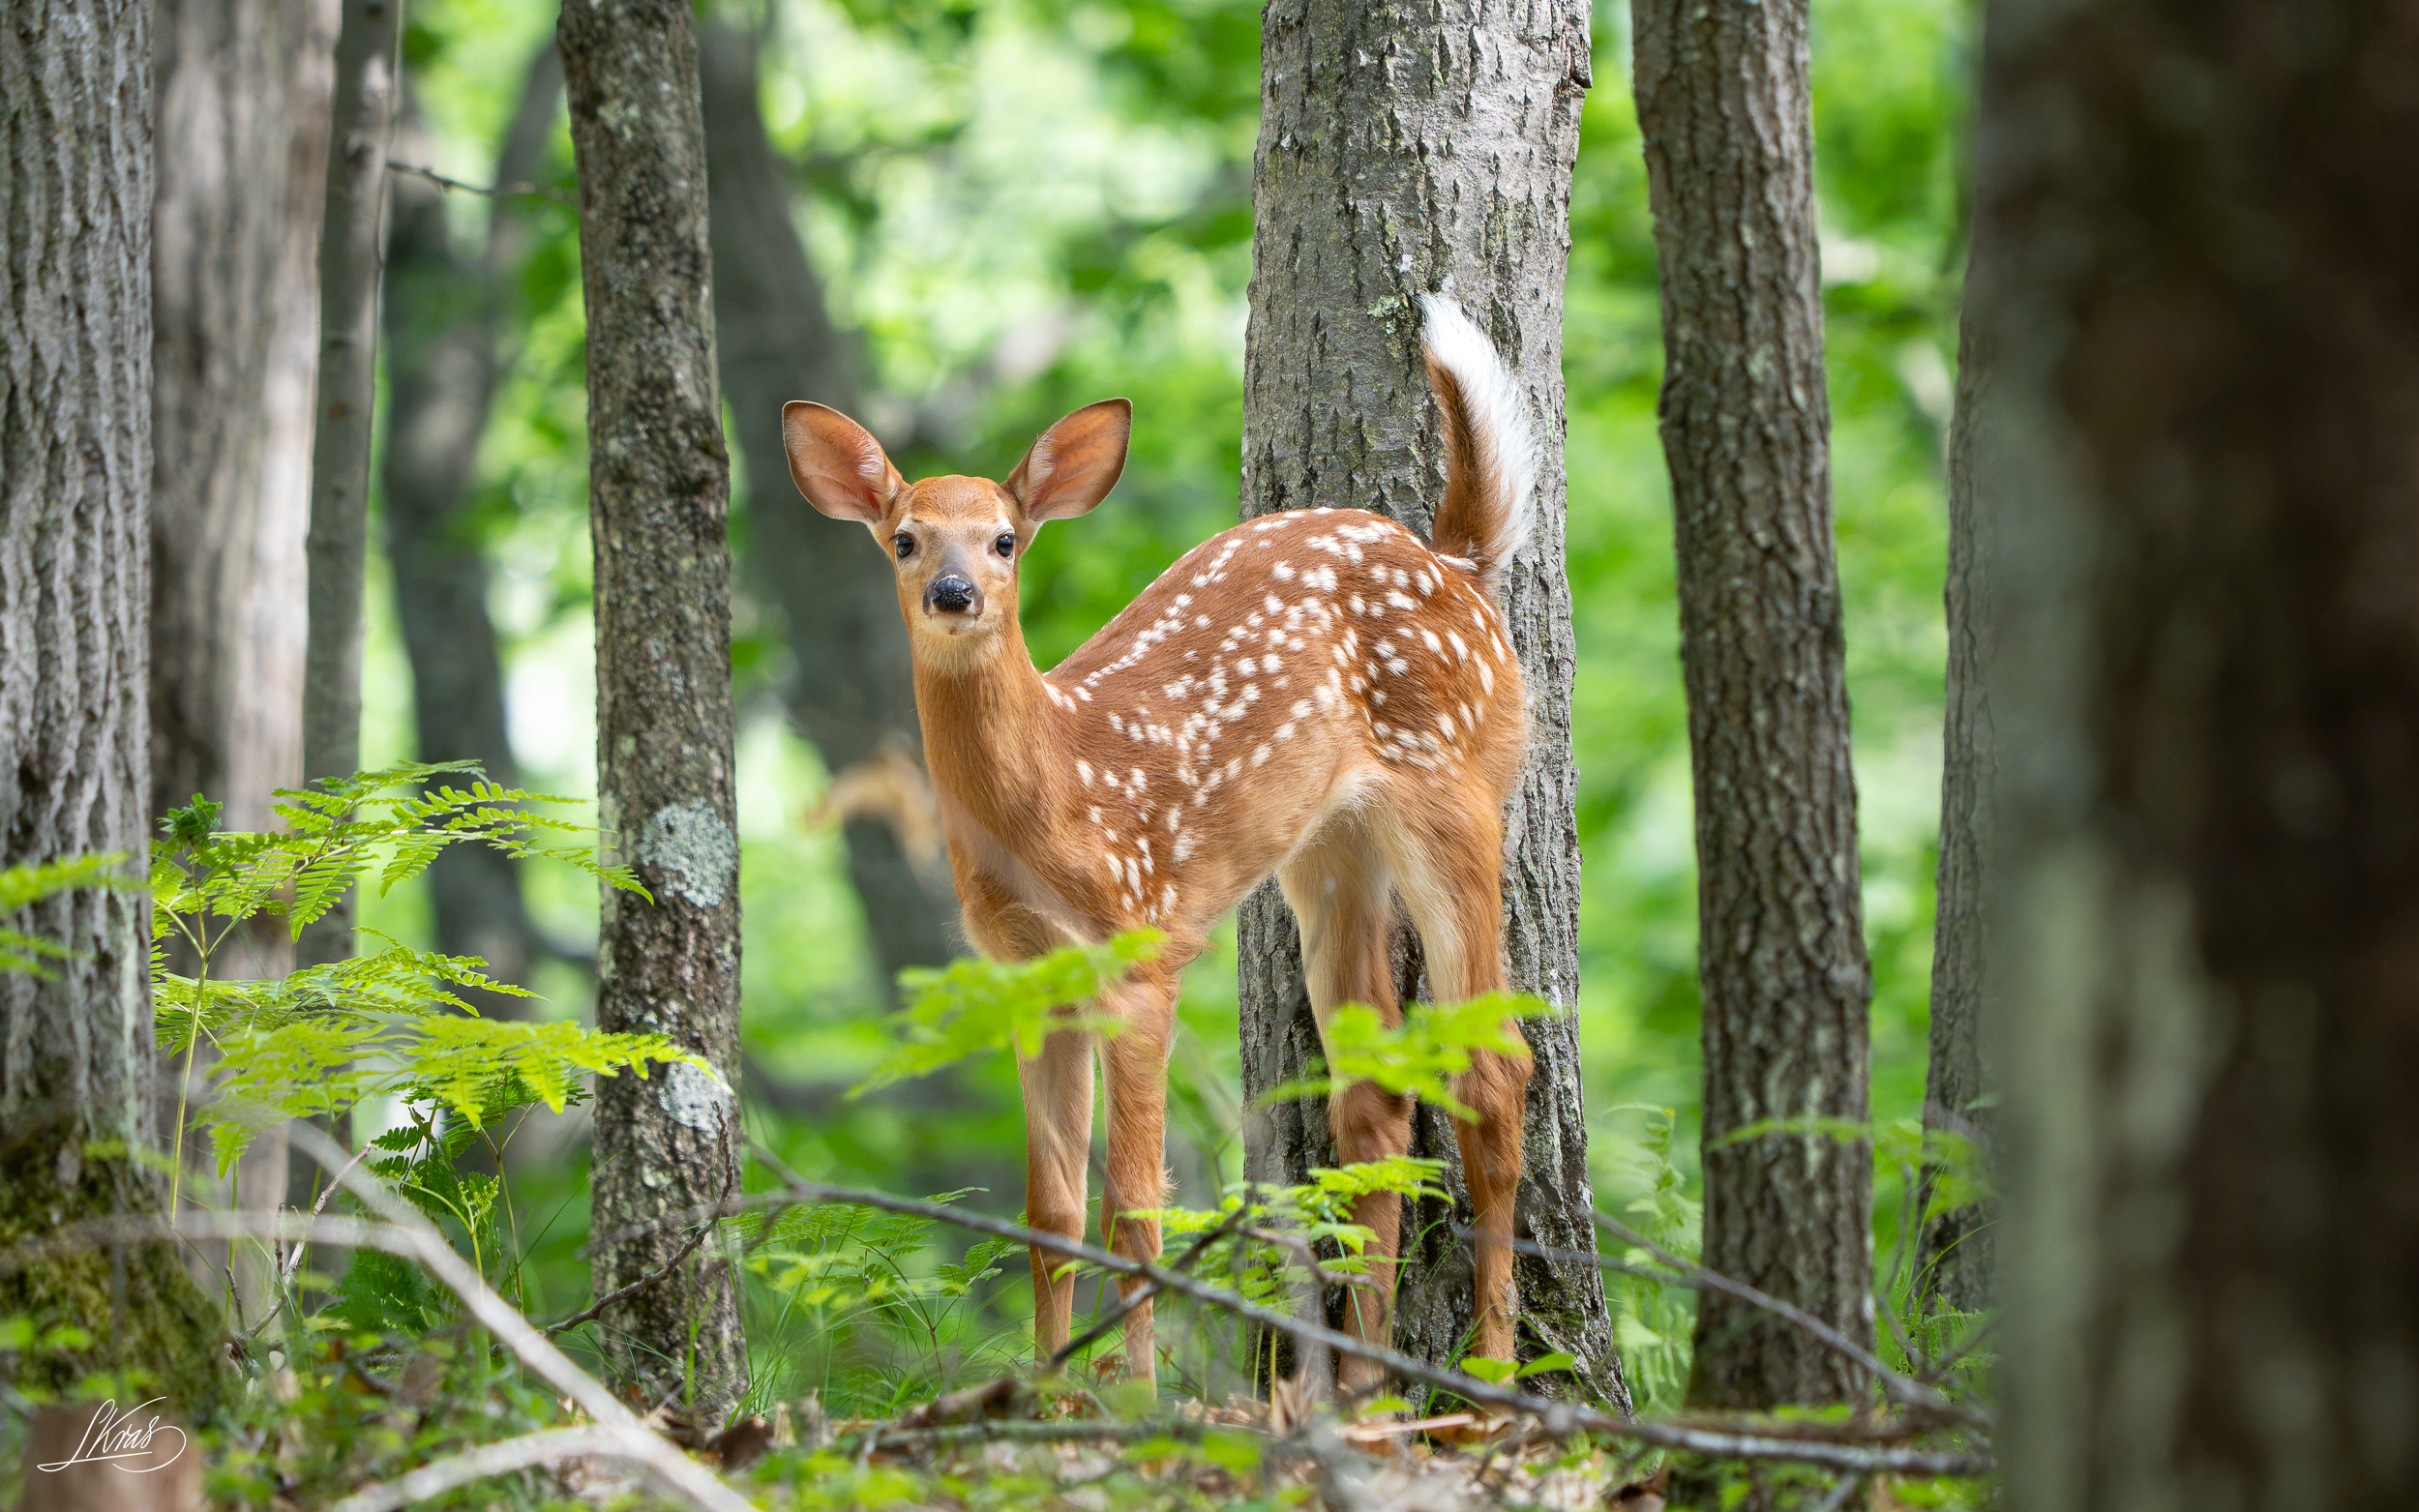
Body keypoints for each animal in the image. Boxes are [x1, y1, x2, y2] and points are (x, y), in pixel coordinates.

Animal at [779, 295, 1537, 1395]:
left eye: (1005, 540)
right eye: (905, 538)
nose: (955, 594)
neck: (1060, 794)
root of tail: (1457, 564)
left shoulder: (1140, 949)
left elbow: (1134, 1208)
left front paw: (1135, 1396)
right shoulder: (1027, 972)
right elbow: (1050, 1211)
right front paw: (1048, 1393)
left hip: (1455, 788)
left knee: (1494, 1071)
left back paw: (1490, 1376)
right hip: (1329, 852)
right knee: (1375, 1102)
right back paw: (1362, 1385)